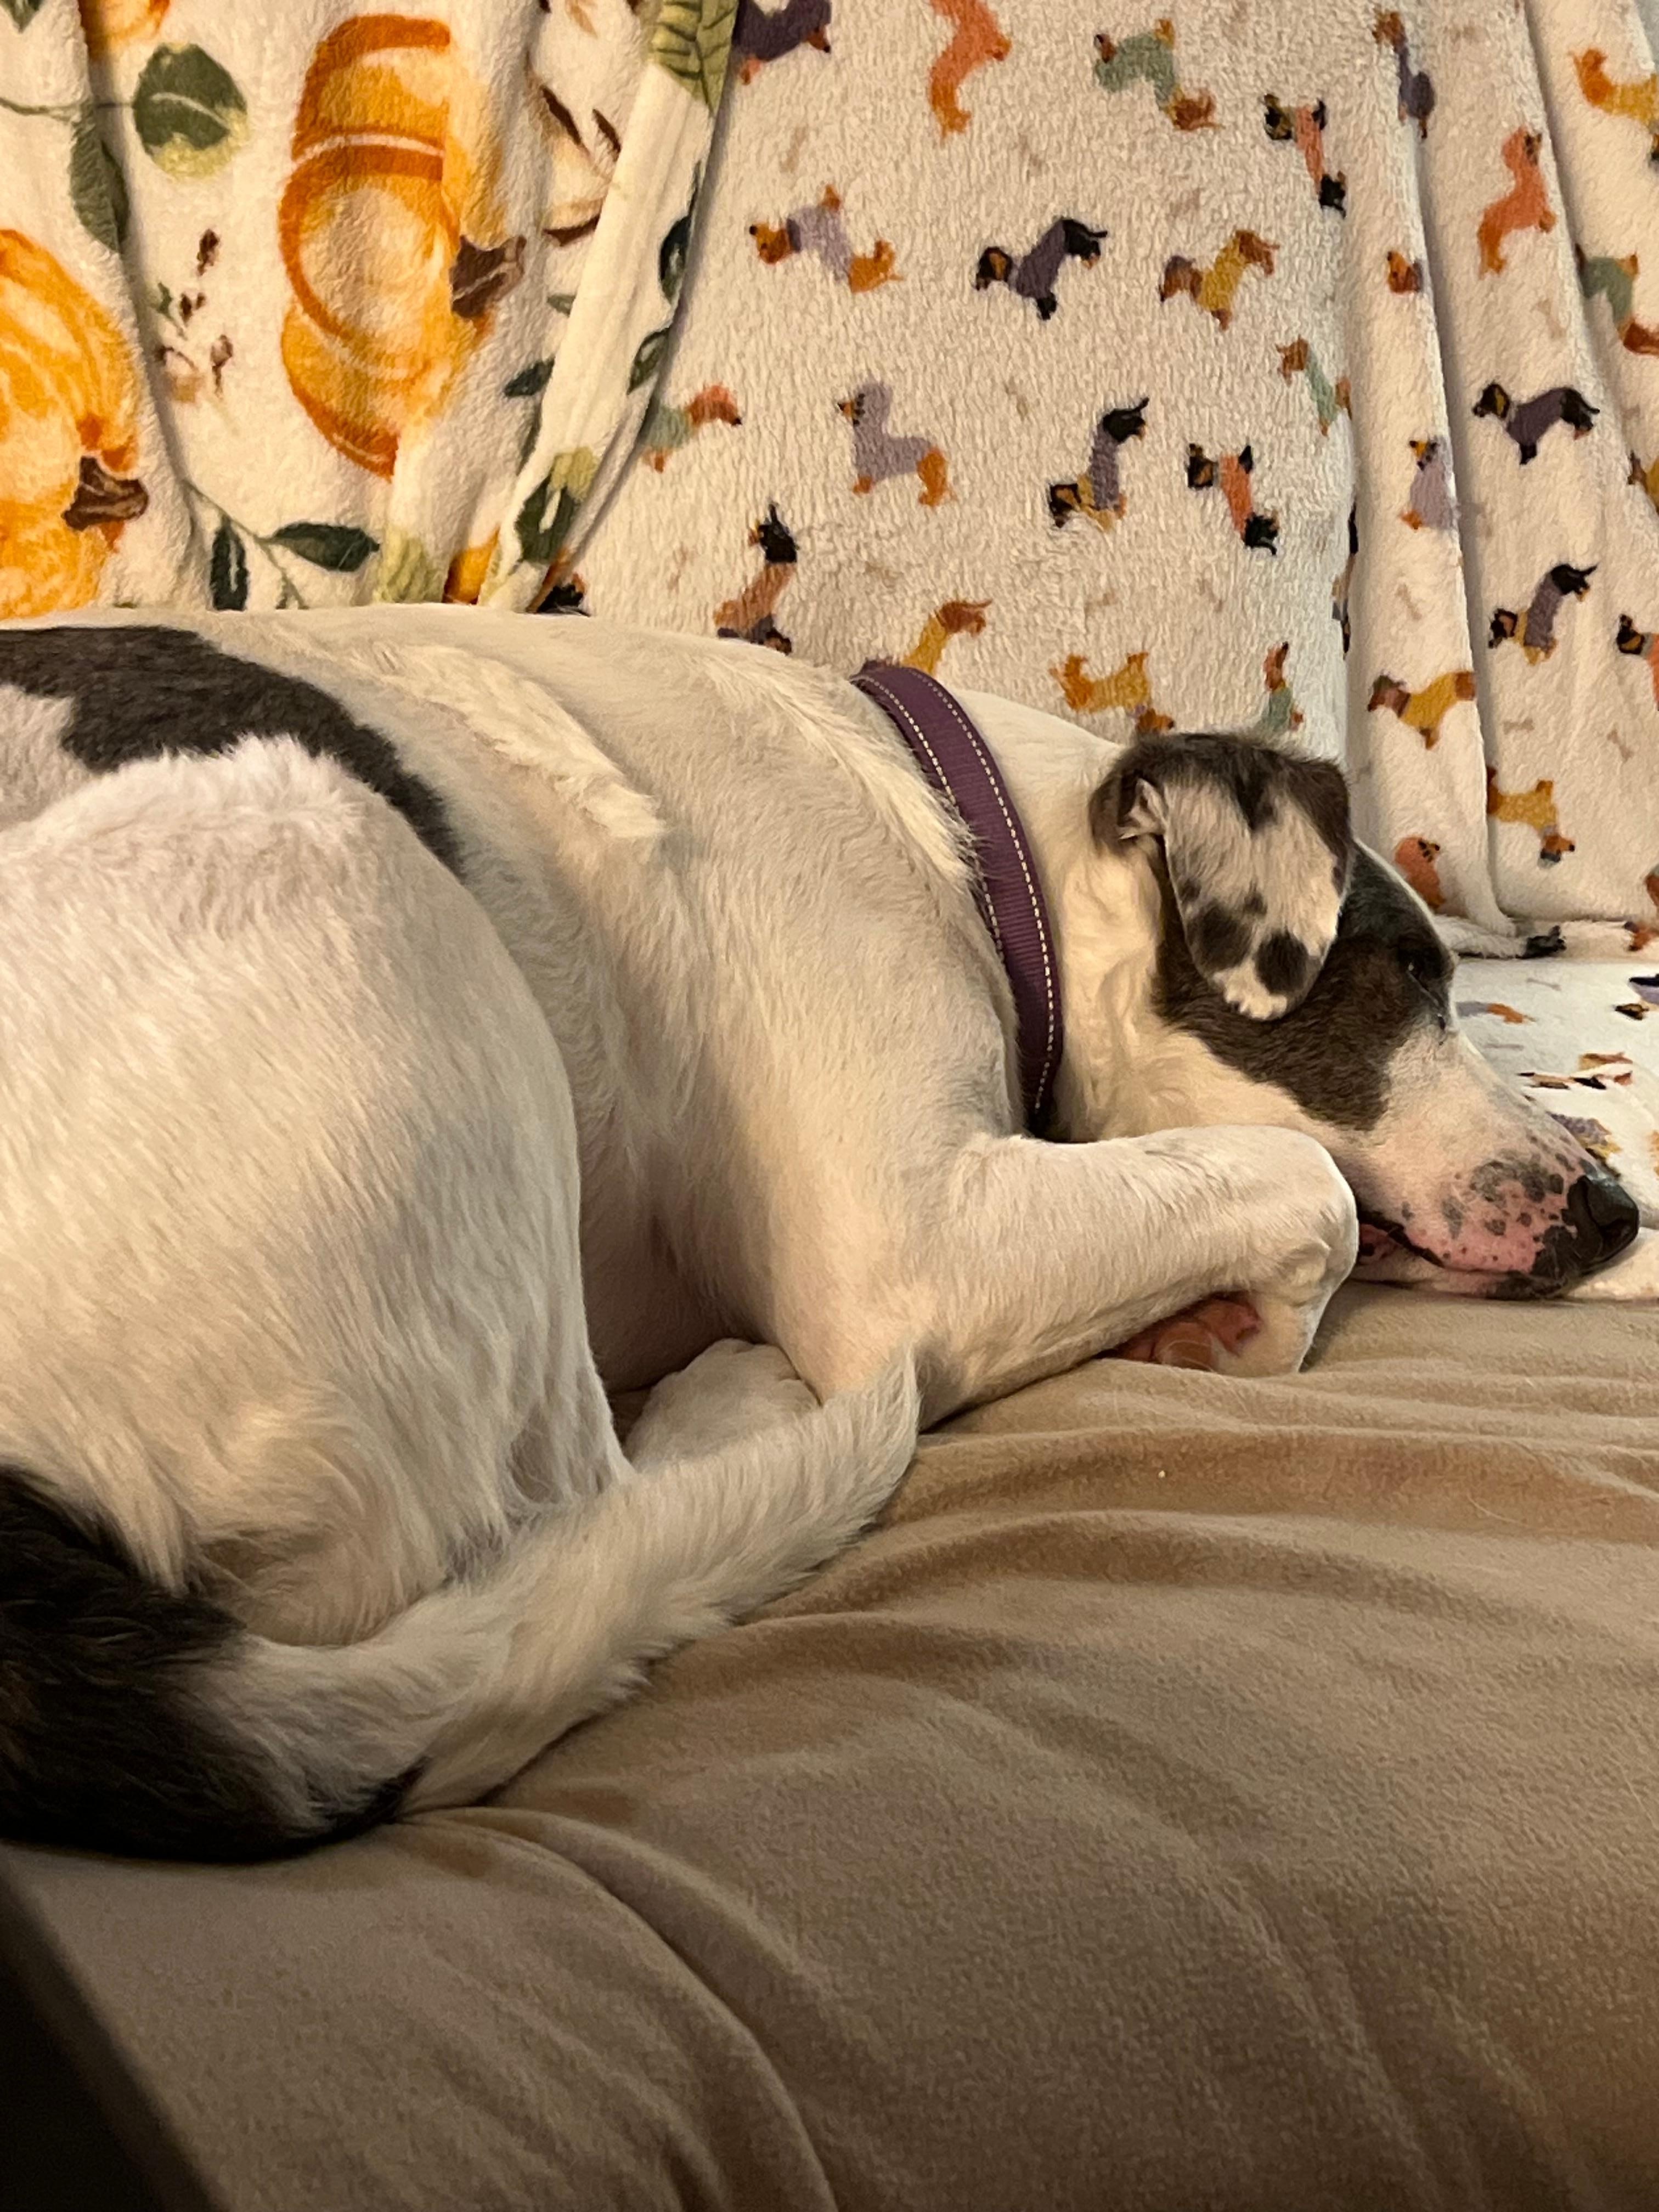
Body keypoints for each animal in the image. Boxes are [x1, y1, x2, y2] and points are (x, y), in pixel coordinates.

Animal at [0, 610, 1638, 1859]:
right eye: (1412, 977)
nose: (1619, 1211)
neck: (973, 846)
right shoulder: (915, 1240)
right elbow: (1304, 1190)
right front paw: (1243, 1312)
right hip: (318, 838)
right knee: (581, 1506)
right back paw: (736, 1410)